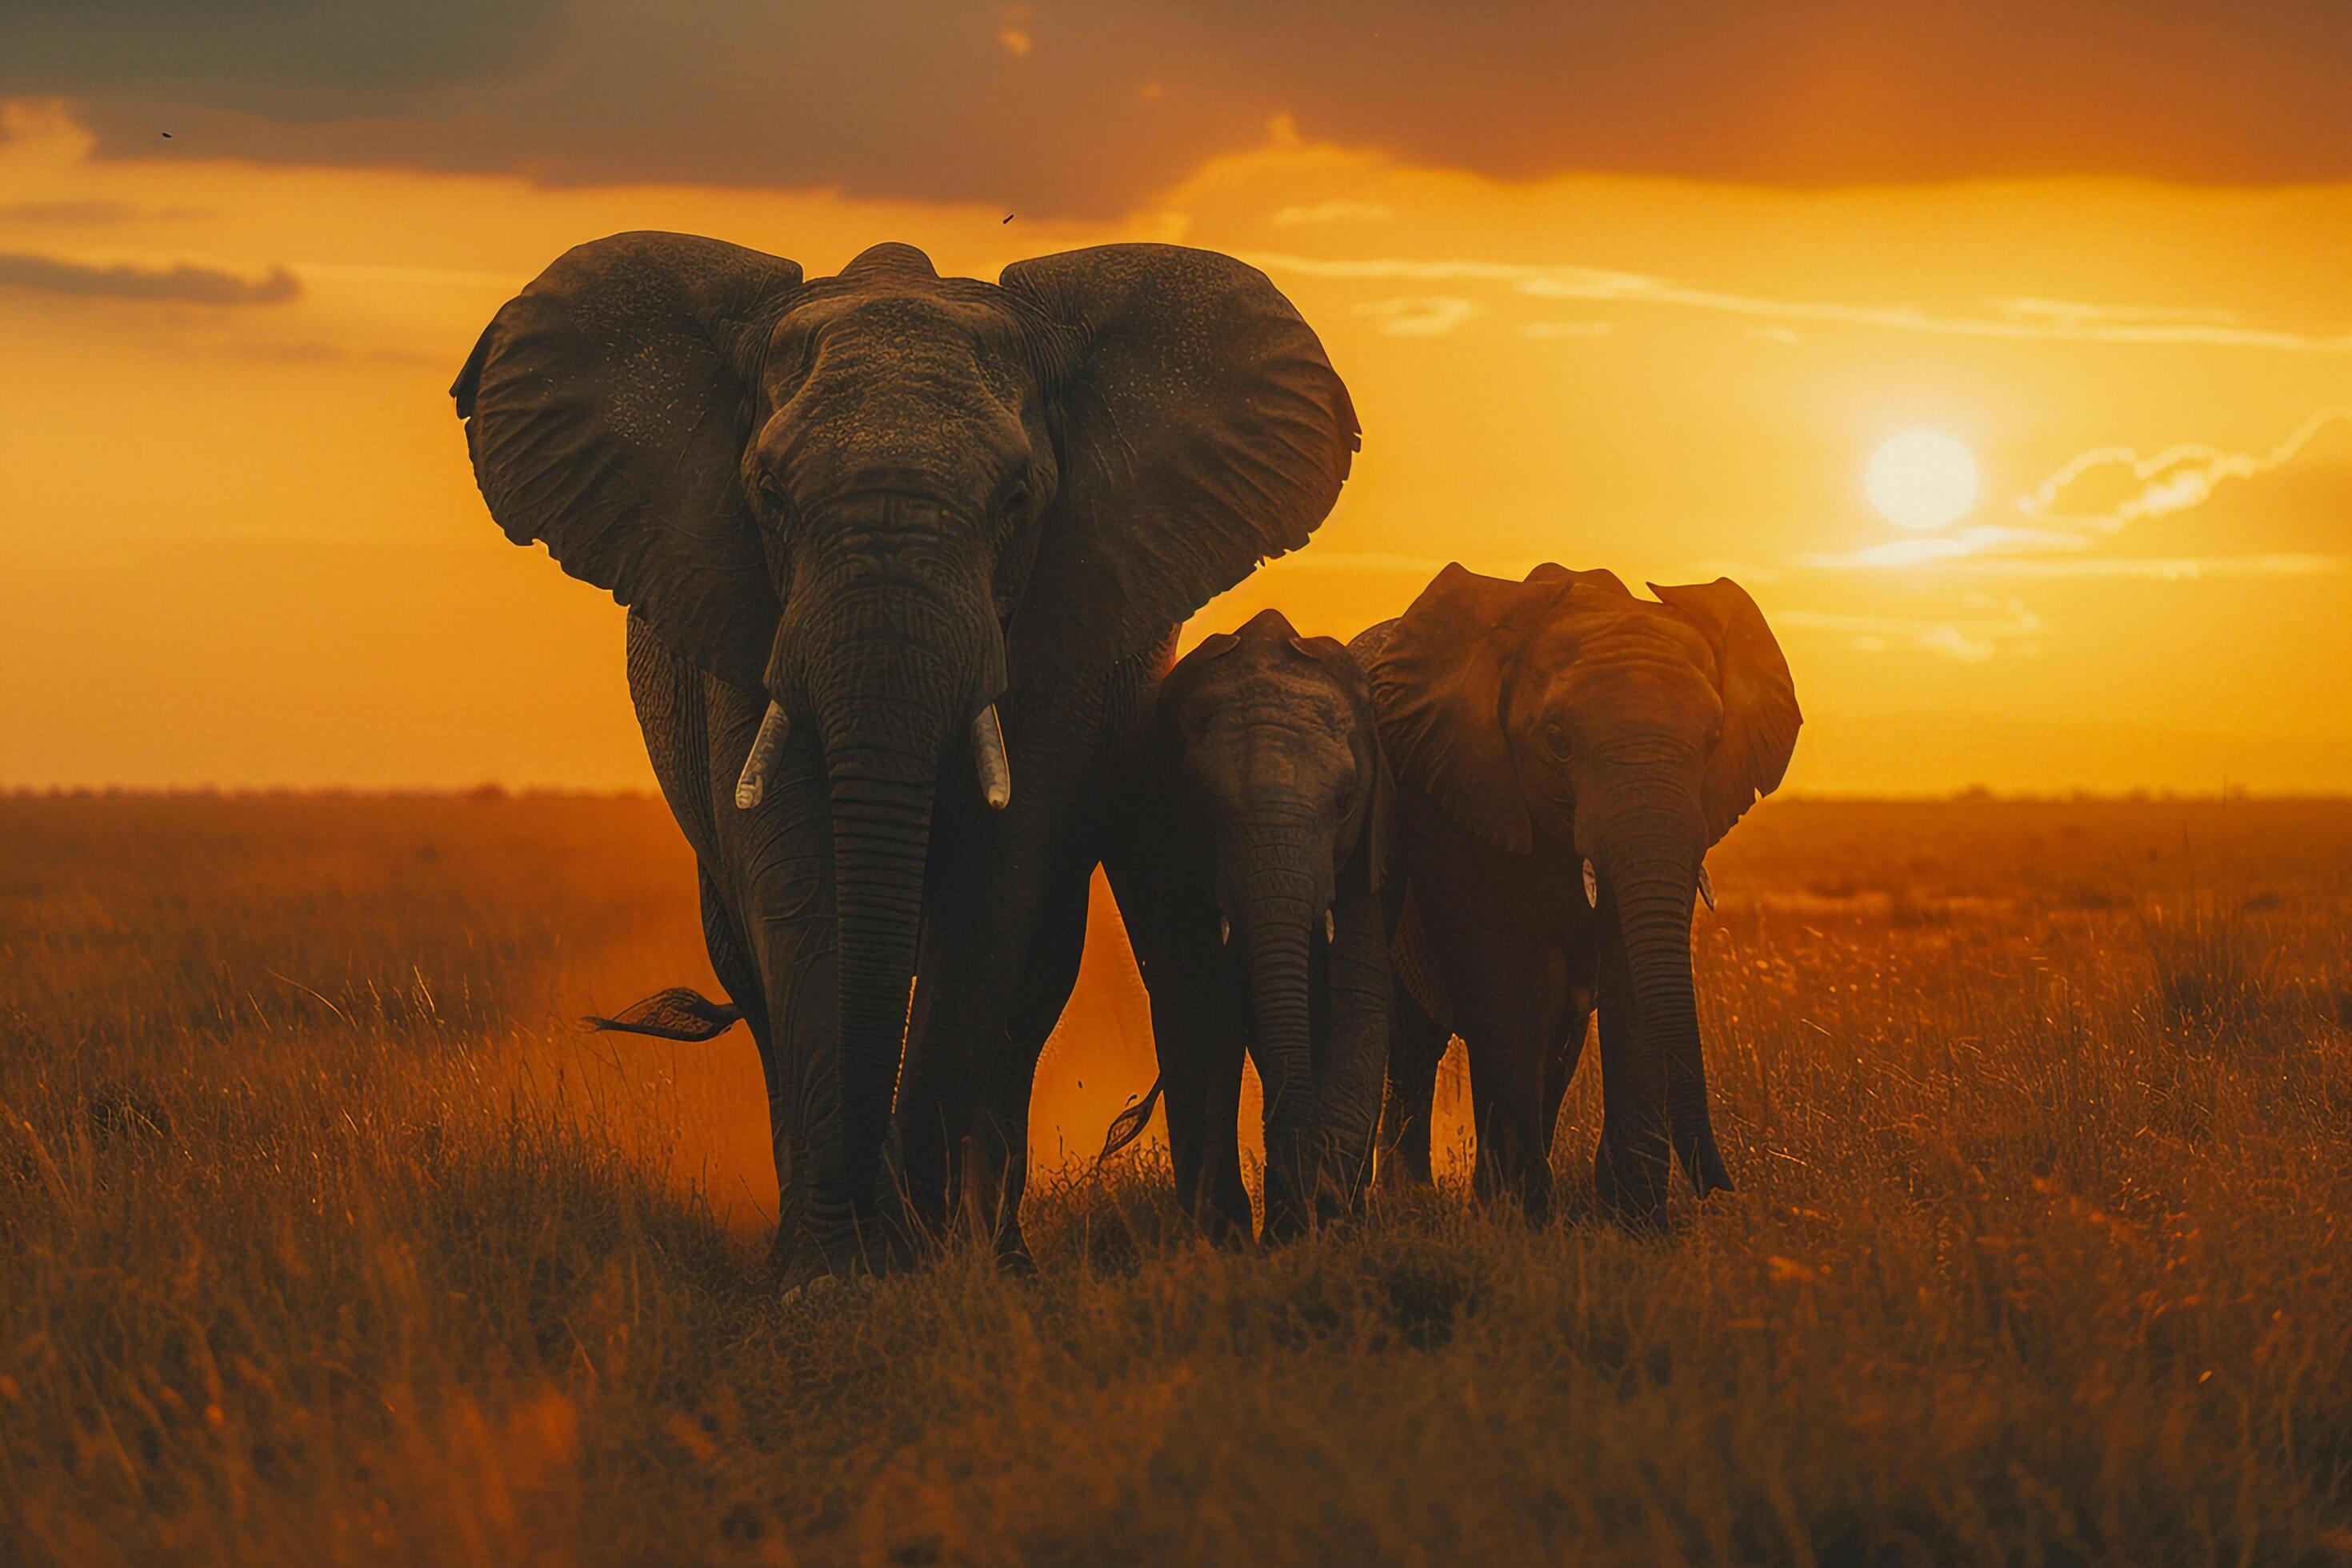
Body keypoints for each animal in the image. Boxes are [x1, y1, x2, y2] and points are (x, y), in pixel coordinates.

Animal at [1100, 611, 1392, 1250]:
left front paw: (1318, 1221)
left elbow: (1346, 998)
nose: (1307, 1206)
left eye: (1344, 802)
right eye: (1201, 804)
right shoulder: (1166, 849)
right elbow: (1200, 1006)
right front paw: (1227, 1243)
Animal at [1345, 562, 1797, 1222]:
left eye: (1714, 738)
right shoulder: (1458, 790)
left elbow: (1622, 977)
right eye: (1556, 739)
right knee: (1414, 1038)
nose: (1722, 1188)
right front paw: (1520, 1216)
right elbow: (1502, 981)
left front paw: (1635, 1220)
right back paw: (1411, 1198)